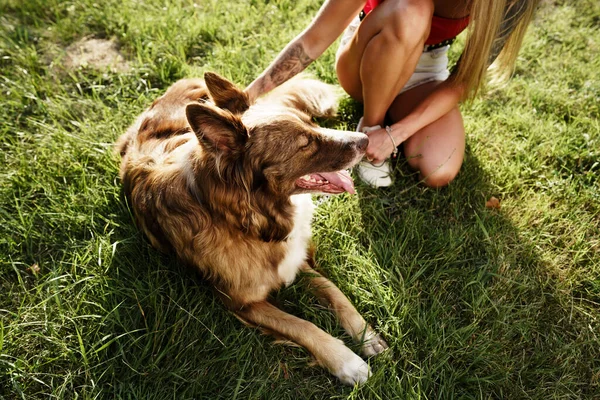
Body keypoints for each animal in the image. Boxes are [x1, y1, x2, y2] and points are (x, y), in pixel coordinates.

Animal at [116, 72, 390, 384]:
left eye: (311, 122)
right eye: (305, 143)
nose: (366, 140)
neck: (246, 223)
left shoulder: (293, 261)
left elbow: (335, 292)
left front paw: (366, 335)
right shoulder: (242, 303)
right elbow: (302, 325)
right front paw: (347, 361)